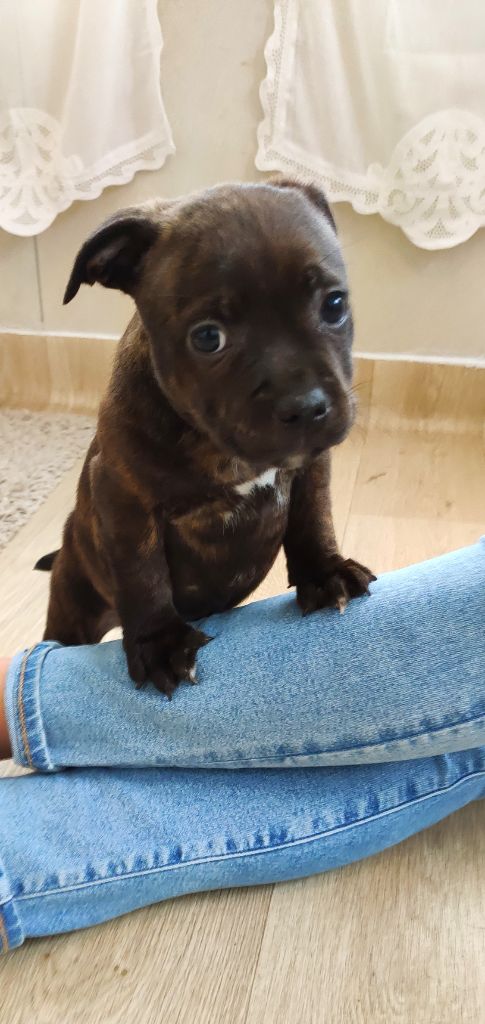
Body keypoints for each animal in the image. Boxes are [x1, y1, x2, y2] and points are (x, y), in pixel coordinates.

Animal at [36, 179, 375, 696]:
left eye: (334, 305)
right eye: (207, 338)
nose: (305, 404)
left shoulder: (311, 467)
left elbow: (312, 517)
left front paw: (324, 572)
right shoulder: (124, 498)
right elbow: (143, 573)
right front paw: (160, 641)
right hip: (73, 605)